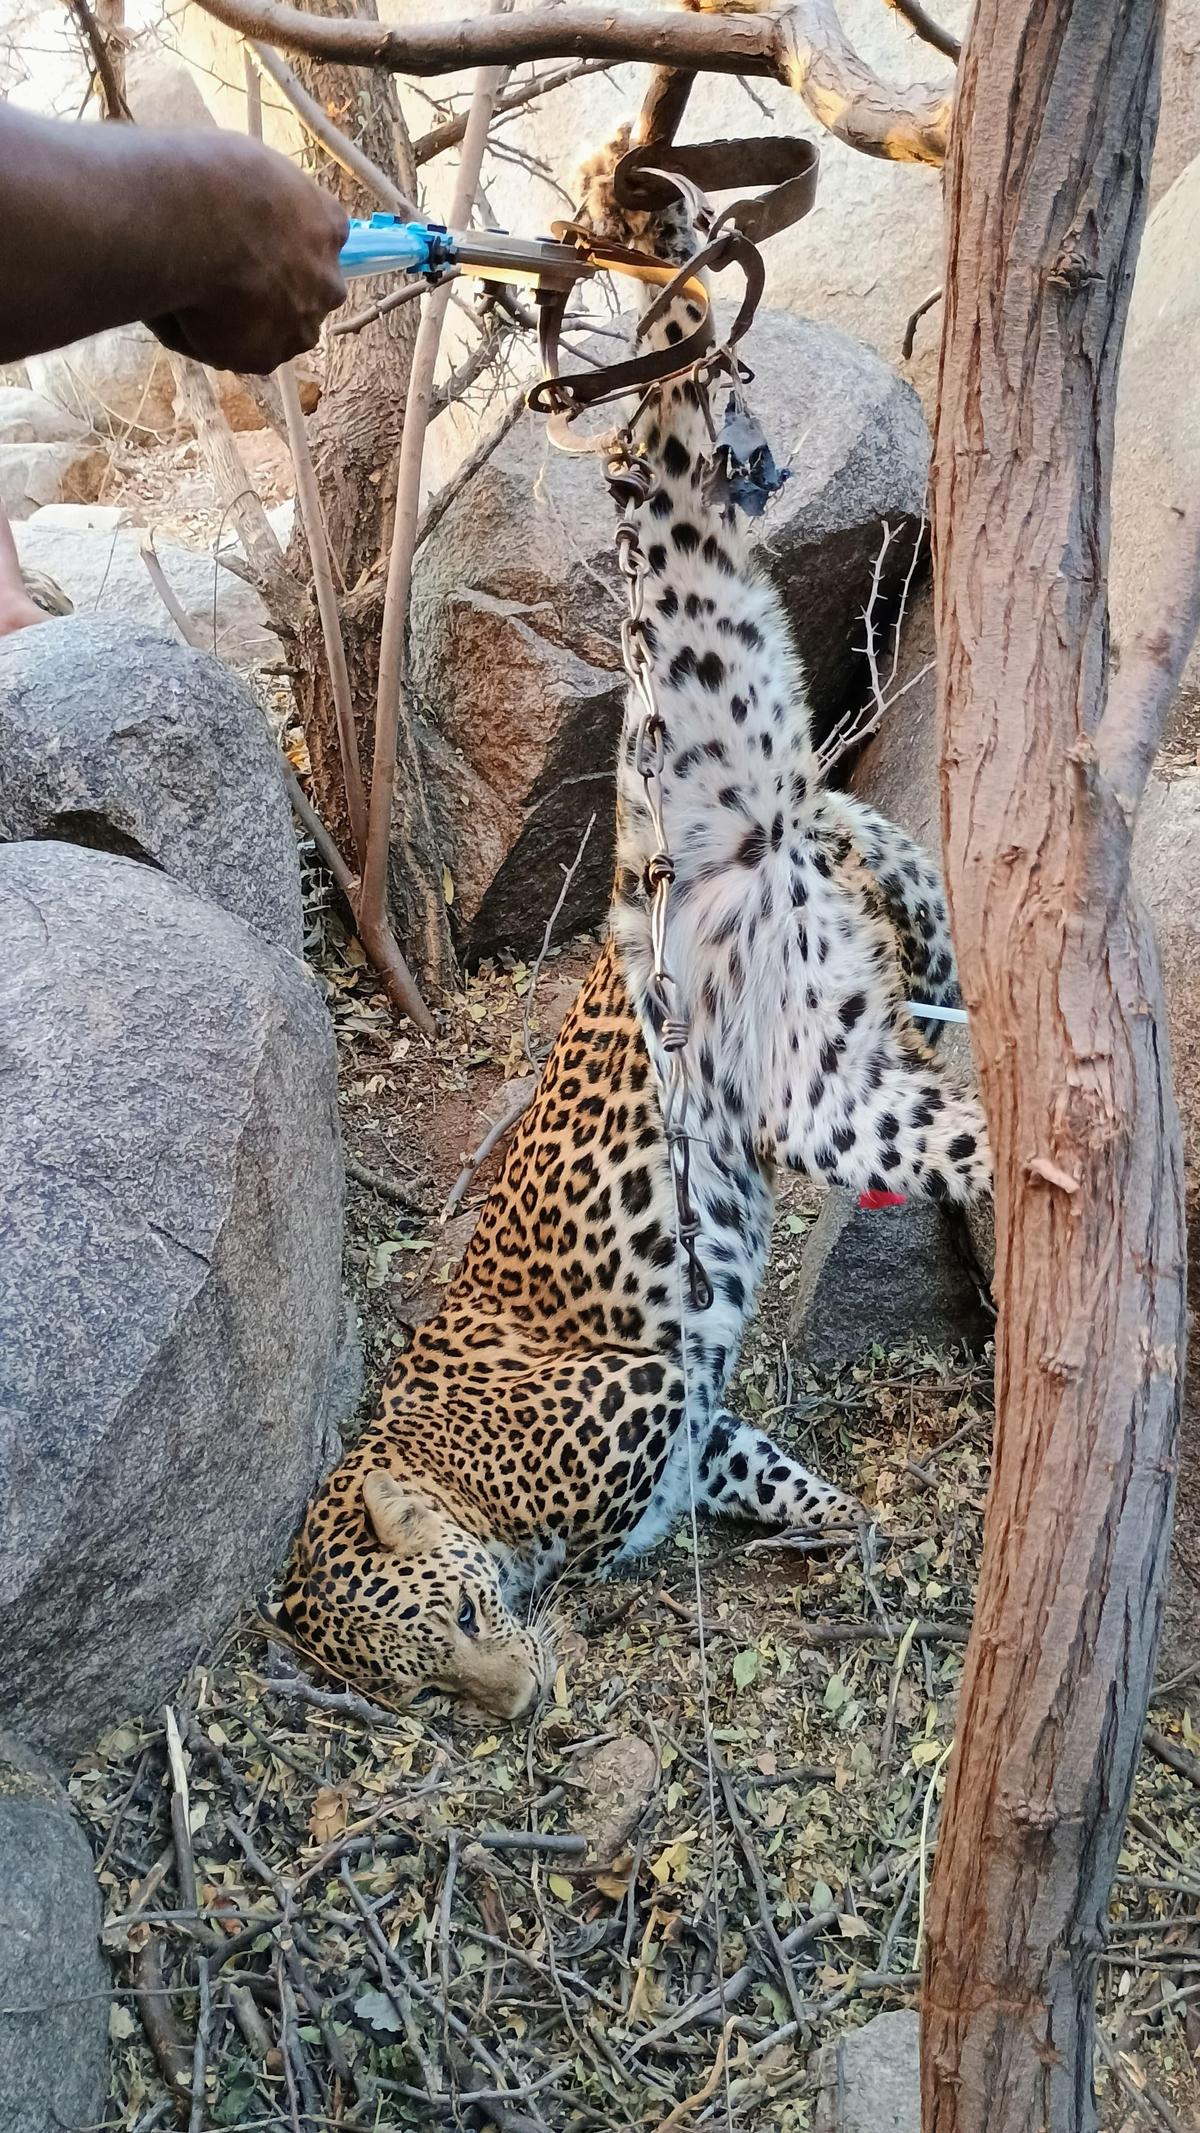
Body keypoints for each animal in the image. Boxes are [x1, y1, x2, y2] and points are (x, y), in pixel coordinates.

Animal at [267, 133, 992, 1723]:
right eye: (425, 1687)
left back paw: (647, 226)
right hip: (829, 958)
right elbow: (761, 1465)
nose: (520, 1698)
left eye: (452, 1615)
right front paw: (842, 1527)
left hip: (793, 1047)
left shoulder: (636, 1392)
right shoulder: (703, 1442)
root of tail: (702, 864)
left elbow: (664, 1418)